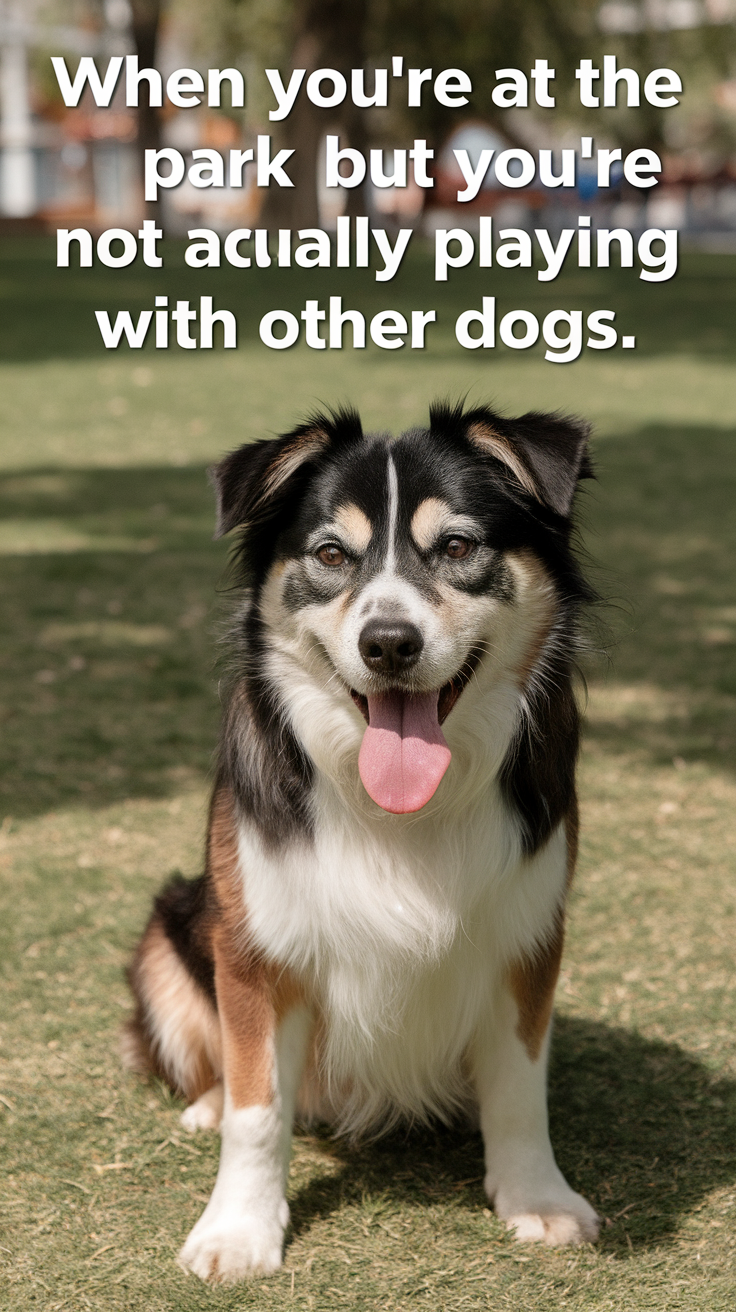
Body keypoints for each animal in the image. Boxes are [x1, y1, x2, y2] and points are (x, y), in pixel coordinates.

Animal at [120, 401, 600, 1280]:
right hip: (169, 935)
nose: (389, 643)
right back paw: (205, 1106)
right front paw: (238, 1231)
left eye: (458, 547)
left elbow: (520, 1086)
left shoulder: (529, 937)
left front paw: (538, 1199)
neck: (400, 807)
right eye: (331, 555)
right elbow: (258, 1108)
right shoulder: (255, 949)